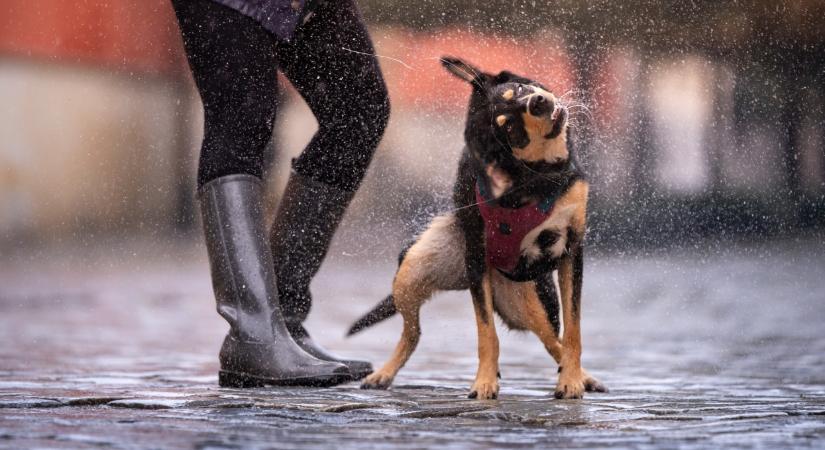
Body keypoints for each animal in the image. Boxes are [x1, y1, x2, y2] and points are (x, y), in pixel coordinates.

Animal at [346, 57, 604, 400]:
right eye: (509, 127)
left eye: (518, 89)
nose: (537, 102)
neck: (540, 176)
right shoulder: (476, 255)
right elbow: (486, 332)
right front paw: (484, 382)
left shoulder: (571, 249)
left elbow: (574, 329)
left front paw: (572, 381)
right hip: (415, 269)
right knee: (413, 333)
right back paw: (383, 373)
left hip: (533, 301)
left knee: (553, 339)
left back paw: (584, 377)